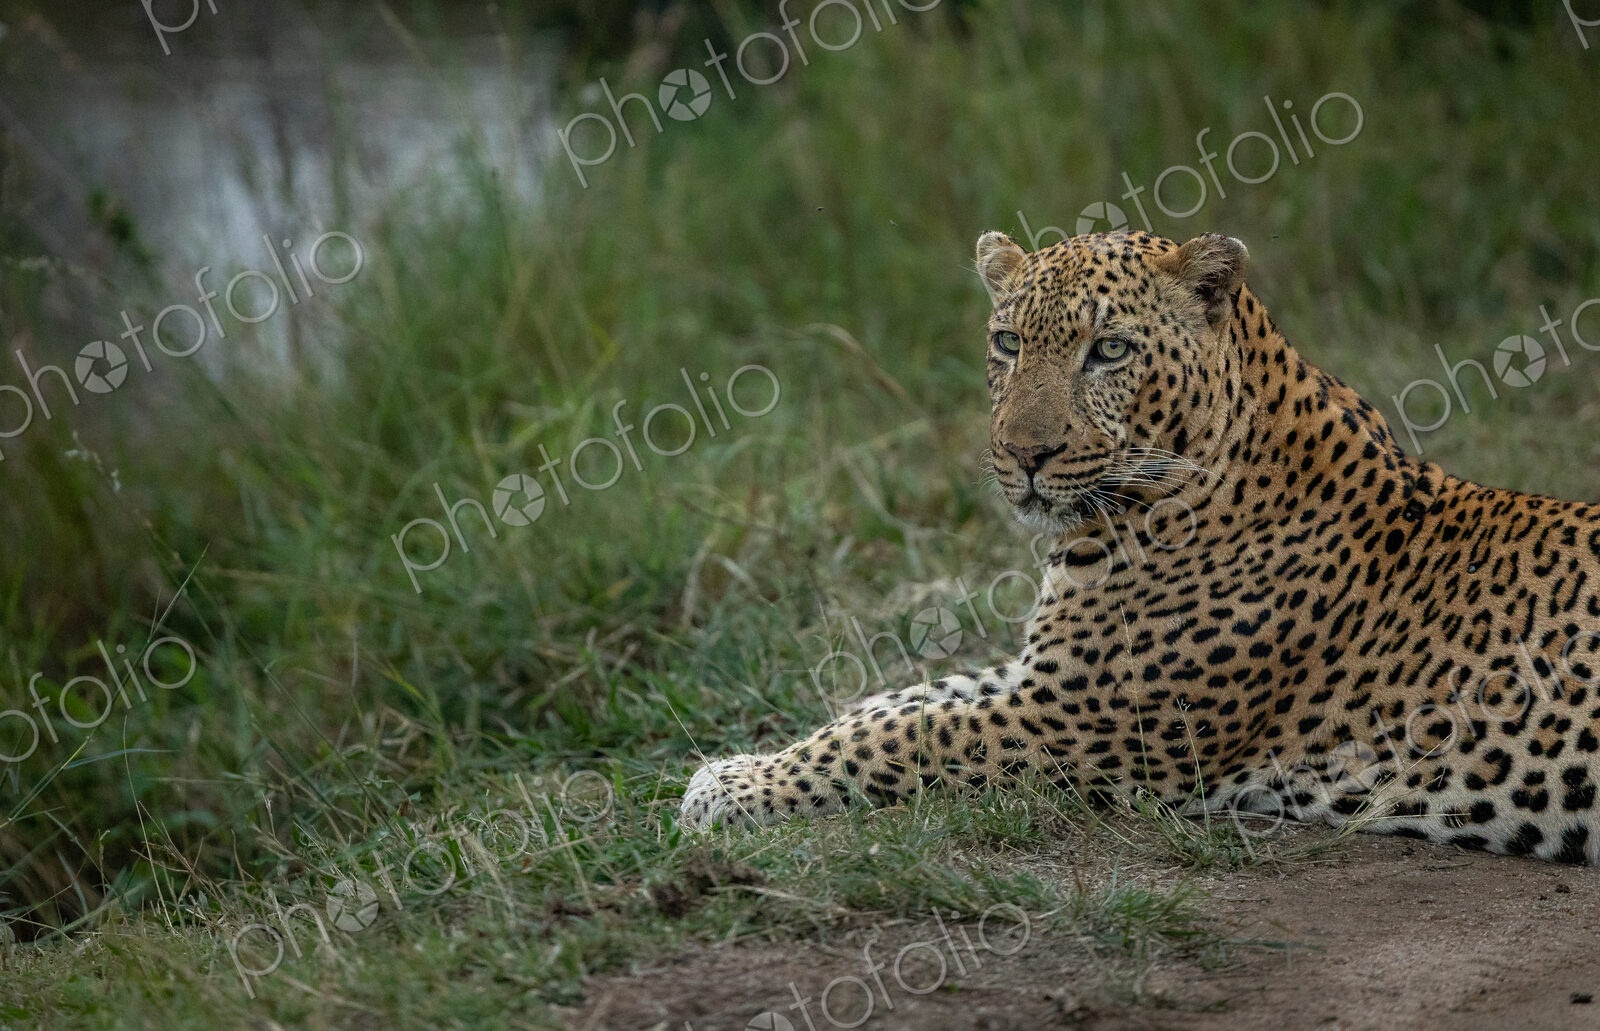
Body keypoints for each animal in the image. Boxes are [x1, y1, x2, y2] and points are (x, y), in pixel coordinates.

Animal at [680, 228, 1600, 863]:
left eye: (1110, 350)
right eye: (1009, 343)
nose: (1024, 453)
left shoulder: (1072, 720)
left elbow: (905, 736)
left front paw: (728, 786)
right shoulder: (1043, 677)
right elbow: (892, 702)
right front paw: (746, 757)